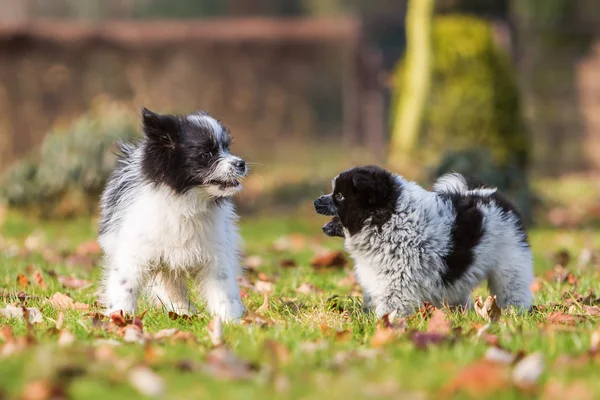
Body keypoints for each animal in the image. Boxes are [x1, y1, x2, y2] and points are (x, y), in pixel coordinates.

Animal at [98, 108, 246, 322]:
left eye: (226, 147)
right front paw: (120, 316)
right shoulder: (134, 252)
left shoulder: (215, 255)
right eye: (207, 154)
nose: (241, 163)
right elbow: (125, 285)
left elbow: (223, 291)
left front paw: (230, 321)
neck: (186, 204)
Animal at [314, 164, 536, 318]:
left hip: (510, 267)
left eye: (339, 196)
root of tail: (492, 195)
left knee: (513, 290)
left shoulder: (397, 283)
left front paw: (383, 326)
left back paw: (515, 314)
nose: (316, 202)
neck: (389, 219)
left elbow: (390, 308)